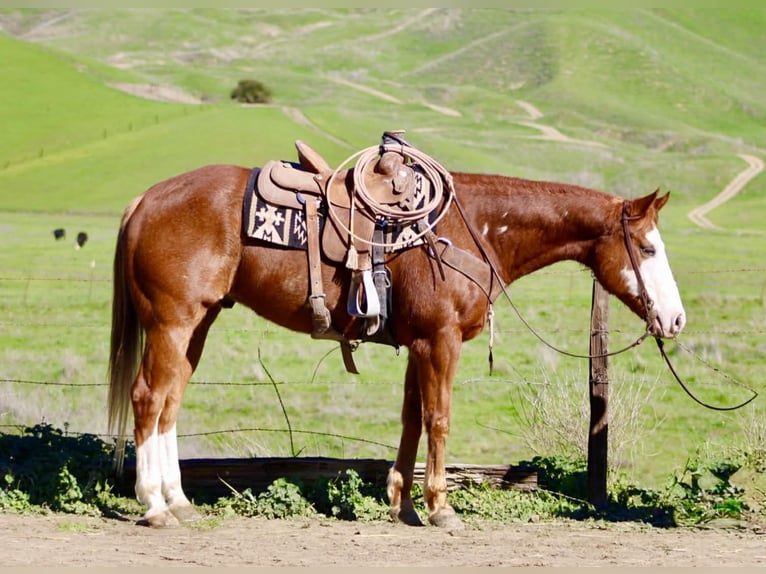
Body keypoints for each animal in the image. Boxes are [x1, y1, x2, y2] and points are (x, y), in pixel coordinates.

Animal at [107, 141, 686, 530]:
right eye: (648, 248)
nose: (676, 320)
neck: (470, 227)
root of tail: (145, 200)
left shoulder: (417, 345)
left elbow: (411, 420)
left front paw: (402, 503)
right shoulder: (440, 341)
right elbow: (439, 418)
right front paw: (440, 507)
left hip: (197, 324)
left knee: (171, 401)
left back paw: (179, 501)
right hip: (171, 322)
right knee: (149, 397)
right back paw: (153, 505)